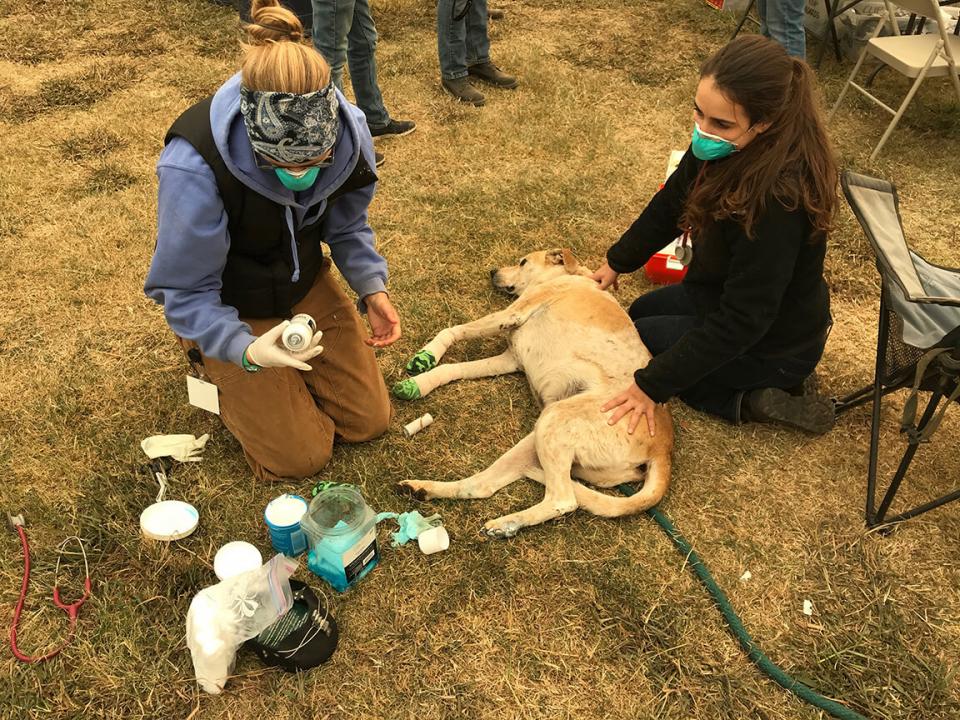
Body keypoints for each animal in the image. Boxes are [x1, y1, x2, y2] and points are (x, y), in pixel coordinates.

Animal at [394, 250, 672, 536]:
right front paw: (423, 381)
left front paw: (428, 353)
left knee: (563, 500)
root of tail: (663, 449)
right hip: (539, 439)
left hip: (555, 419)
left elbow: (454, 330)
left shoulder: (510, 314)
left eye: (523, 262)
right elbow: (453, 368)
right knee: (482, 486)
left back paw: (507, 522)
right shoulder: (510, 359)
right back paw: (424, 489)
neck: (569, 276)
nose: (492, 271)